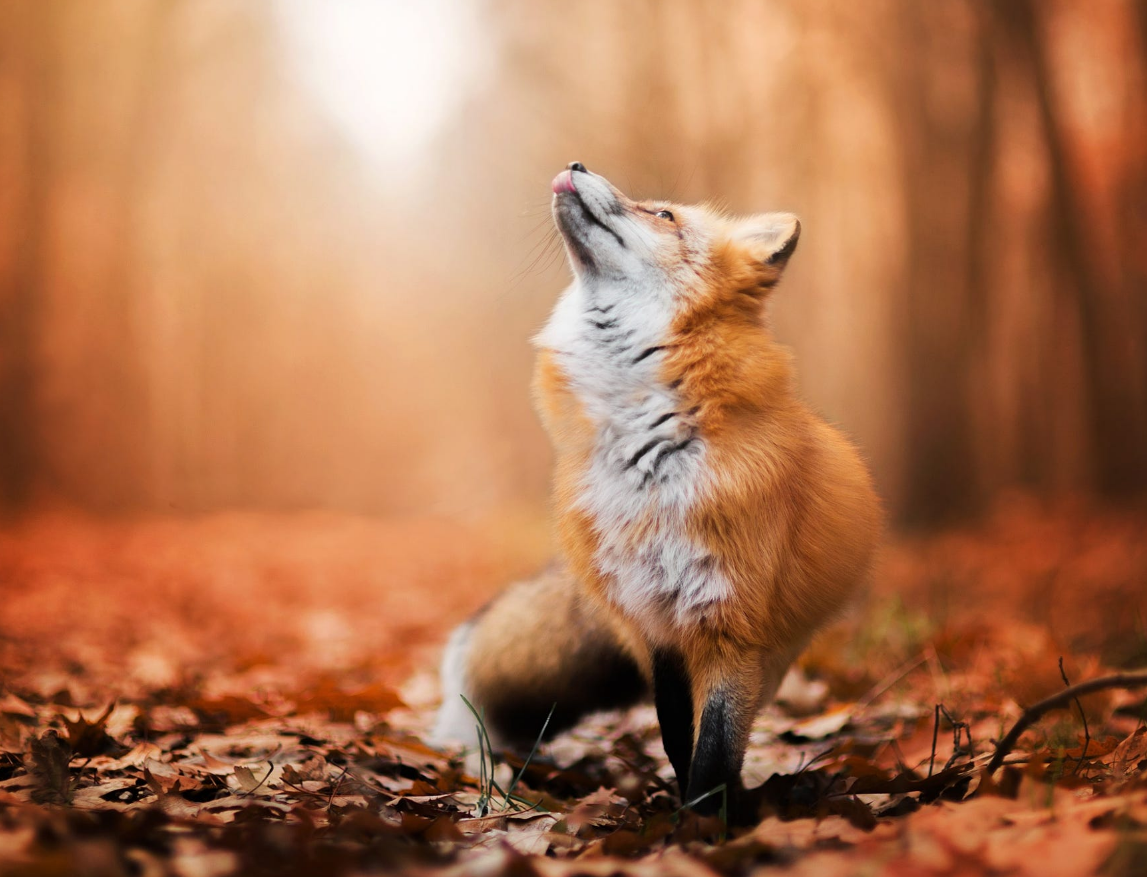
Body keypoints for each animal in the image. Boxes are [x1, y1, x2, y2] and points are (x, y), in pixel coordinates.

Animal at [433, 162, 882, 819]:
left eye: (664, 215)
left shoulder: (730, 623)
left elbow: (714, 749)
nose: (576, 165)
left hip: (774, 651)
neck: (646, 461)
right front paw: (688, 815)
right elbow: (677, 735)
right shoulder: (653, 623)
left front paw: (702, 826)